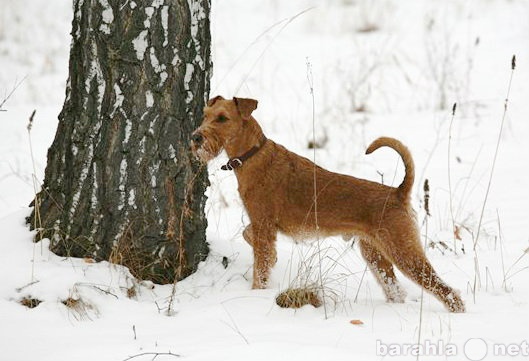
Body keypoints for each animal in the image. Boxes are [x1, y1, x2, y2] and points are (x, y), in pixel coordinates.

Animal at [192, 95, 464, 312]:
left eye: (222, 118)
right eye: (205, 116)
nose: (195, 137)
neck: (253, 155)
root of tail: (398, 192)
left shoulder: (263, 227)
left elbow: (261, 269)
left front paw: (257, 294)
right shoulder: (261, 227)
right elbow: (248, 235)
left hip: (403, 250)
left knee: (447, 291)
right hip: (375, 253)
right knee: (396, 290)